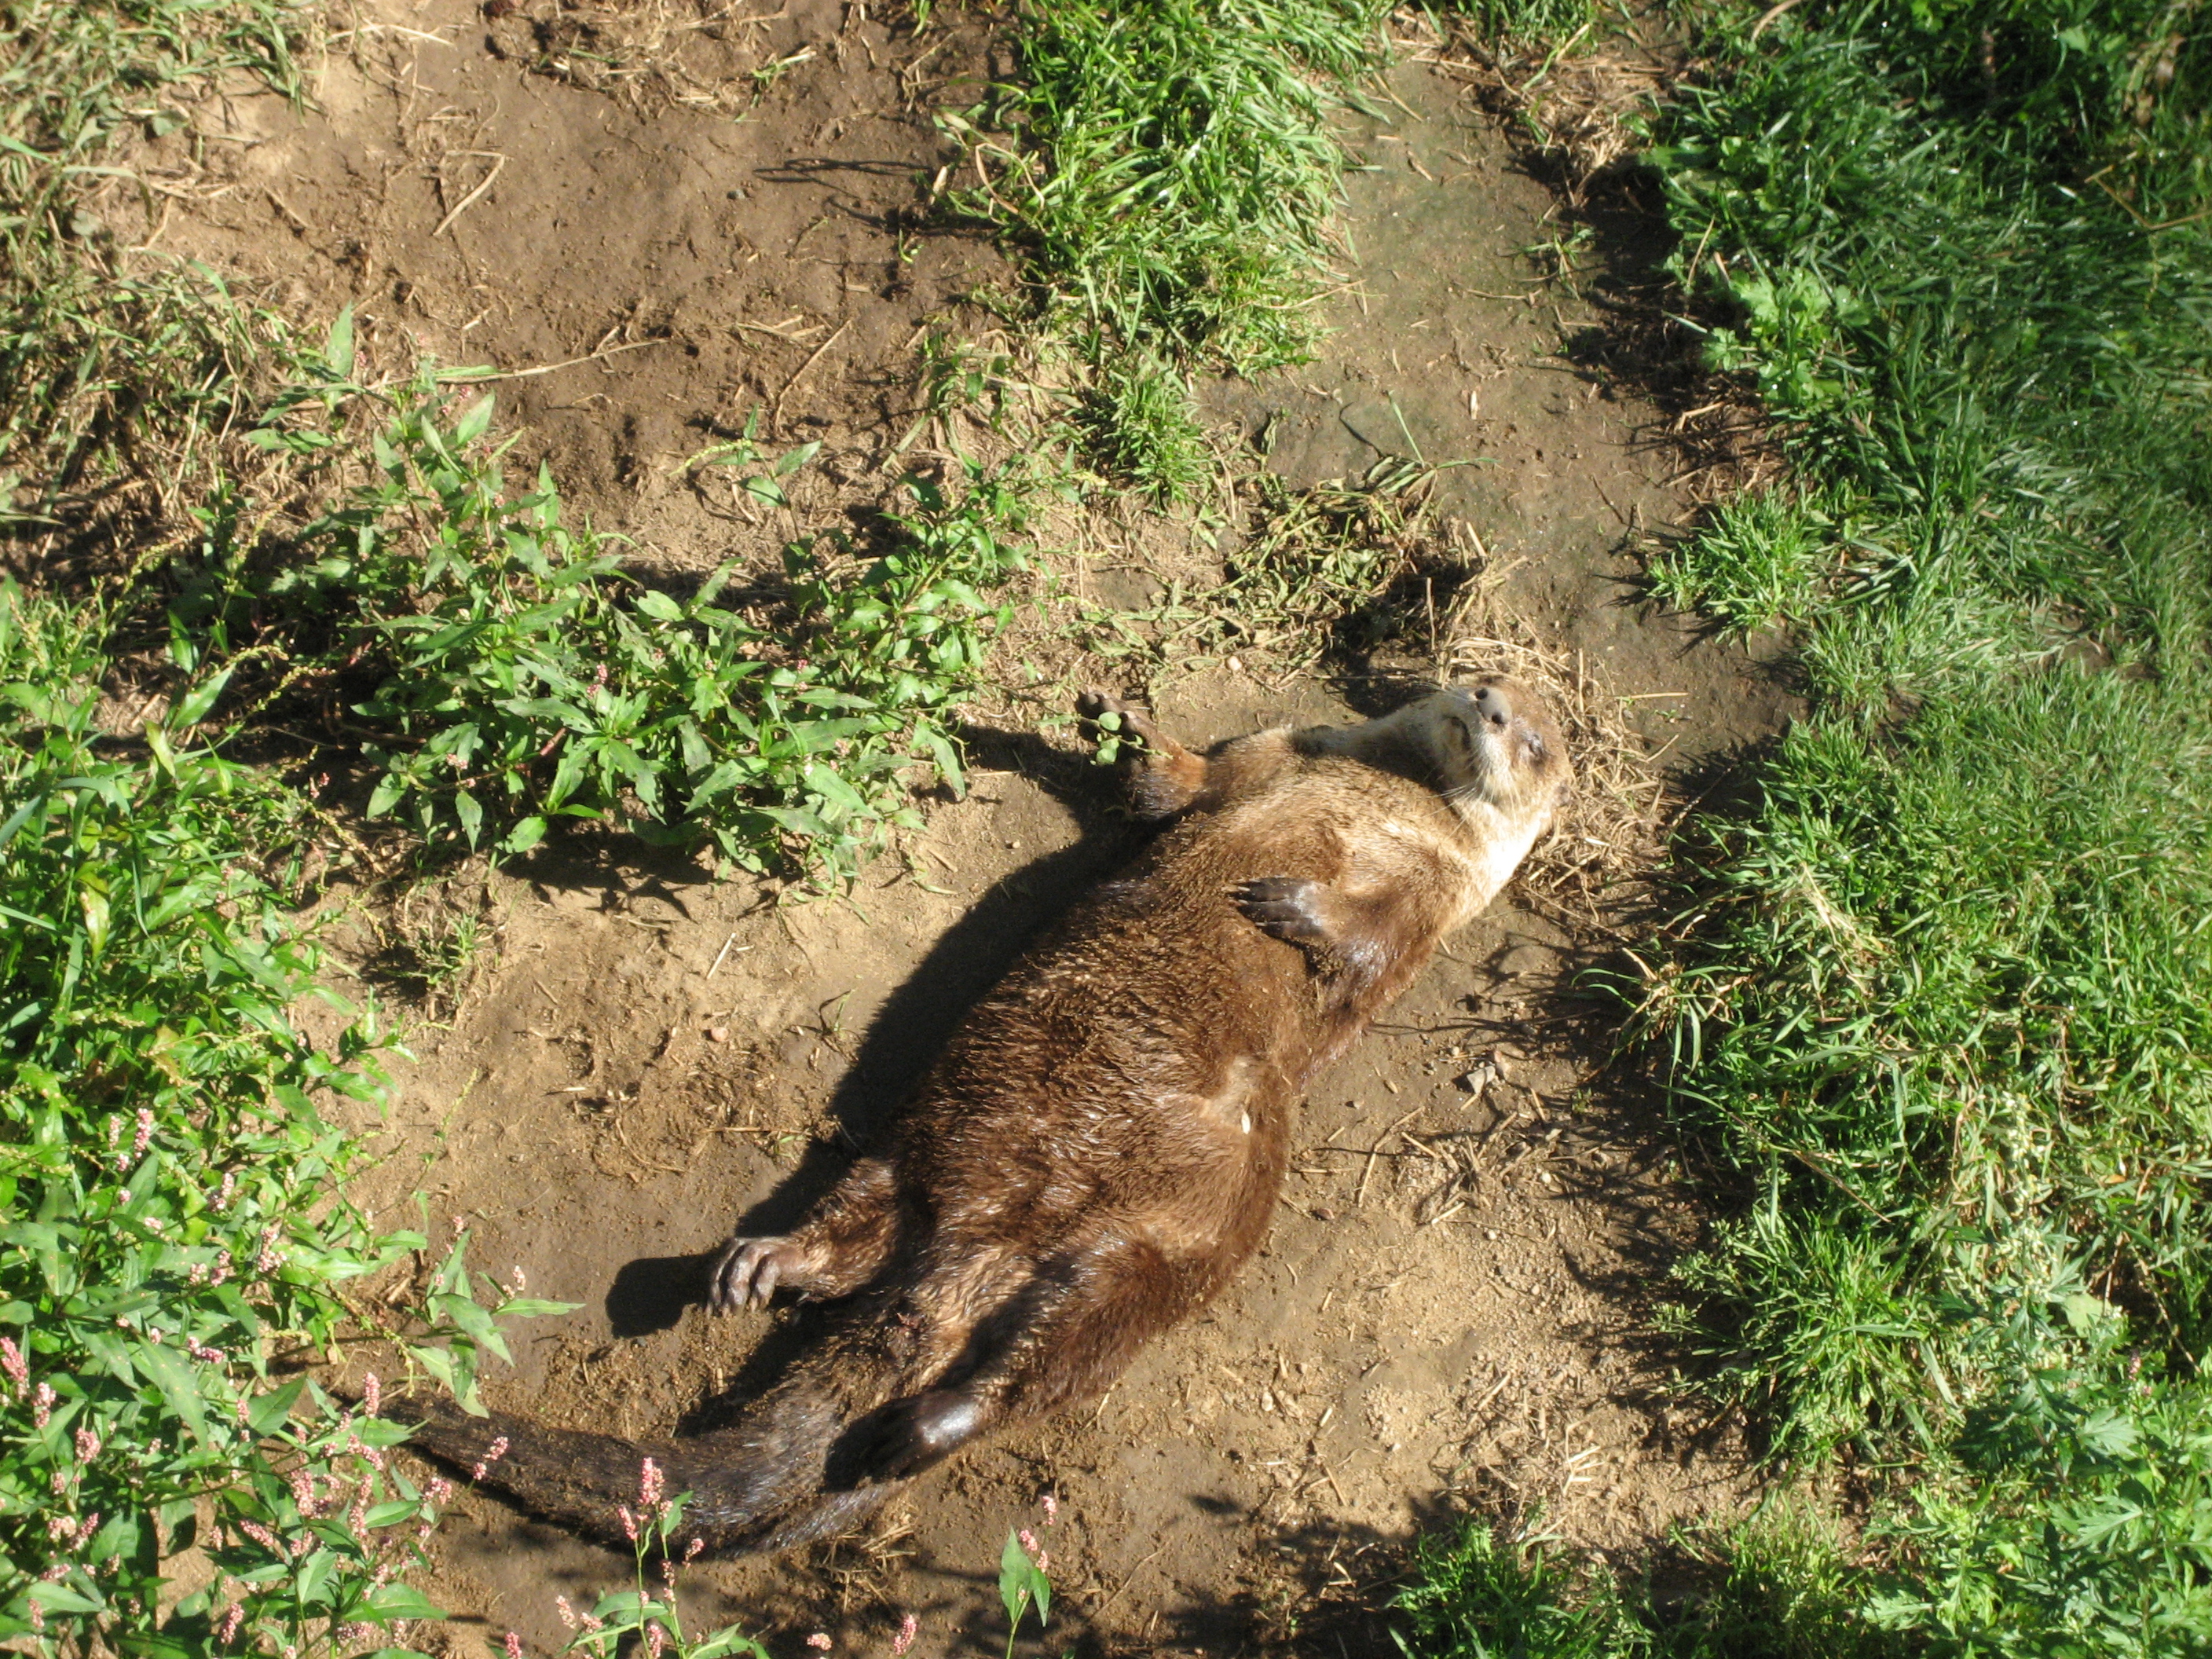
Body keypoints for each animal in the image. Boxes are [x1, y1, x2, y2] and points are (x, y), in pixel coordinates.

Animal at [393, 679, 1568, 1554]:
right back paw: (764, 1268)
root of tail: (995, 1241)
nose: (1488, 706)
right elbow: (1179, 783)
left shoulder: (1432, 905)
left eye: (1538, 740)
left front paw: (1291, 906)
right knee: (866, 1237)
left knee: (1051, 1360)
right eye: (1478, 679)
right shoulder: (1274, 753)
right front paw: (1111, 716)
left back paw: (922, 1423)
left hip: (1182, 1243)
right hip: (933, 1151)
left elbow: (1367, 946)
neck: (1385, 796)